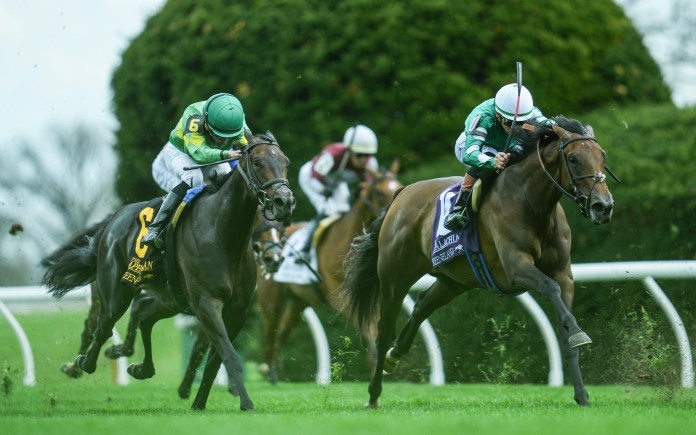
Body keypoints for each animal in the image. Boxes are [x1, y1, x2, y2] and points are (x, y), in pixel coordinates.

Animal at [42, 133, 295, 411]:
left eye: (286, 162)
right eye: (258, 162)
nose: (284, 202)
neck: (223, 233)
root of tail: (112, 219)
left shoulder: (236, 311)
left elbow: (214, 360)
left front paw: (199, 402)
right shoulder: (207, 304)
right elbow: (228, 355)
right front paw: (246, 403)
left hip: (170, 297)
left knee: (143, 315)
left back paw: (140, 367)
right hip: (116, 291)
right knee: (102, 325)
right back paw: (81, 363)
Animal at [256, 161, 402, 384]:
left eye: (399, 185)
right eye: (378, 192)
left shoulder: (371, 296)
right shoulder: (340, 298)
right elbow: (367, 328)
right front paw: (377, 363)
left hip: (299, 302)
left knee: (281, 332)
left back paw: (271, 370)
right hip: (271, 299)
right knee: (269, 332)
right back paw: (268, 369)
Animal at [340, 117, 615, 408]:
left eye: (602, 156)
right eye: (573, 159)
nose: (603, 206)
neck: (532, 202)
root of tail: (402, 194)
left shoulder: (564, 273)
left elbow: (565, 330)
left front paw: (582, 393)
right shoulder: (516, 266)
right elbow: (550, 288)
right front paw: (578, 332)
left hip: (453, 281)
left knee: (421, 307)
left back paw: (394, 356)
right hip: (395, 279)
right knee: (383, 330)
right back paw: (373, 393)